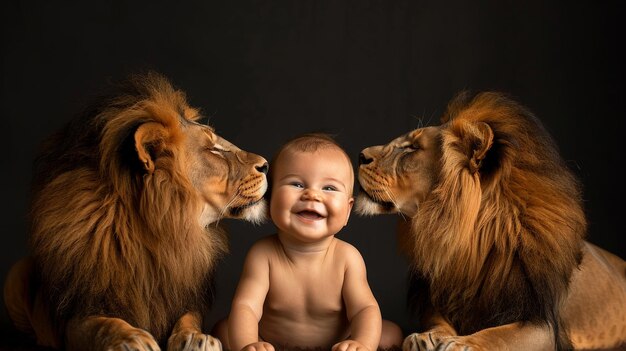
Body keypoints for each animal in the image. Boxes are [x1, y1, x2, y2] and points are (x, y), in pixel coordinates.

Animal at [4, 72, 268, 351]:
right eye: (213, 150)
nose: (266, 165)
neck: (159, 229)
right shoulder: (75, 313)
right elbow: (101, 323)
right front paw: (131, 339)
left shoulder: (183, 297)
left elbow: (188, 318)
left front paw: (199, 338)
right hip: (17, 273)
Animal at [354, 91, 624, 351]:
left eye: (412, 148)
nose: (360, 155)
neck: (470, 241)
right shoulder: (439, 300)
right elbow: (437, 320)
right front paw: (427, 337)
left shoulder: (543, 324)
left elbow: (500, 335)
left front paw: (463, 343)